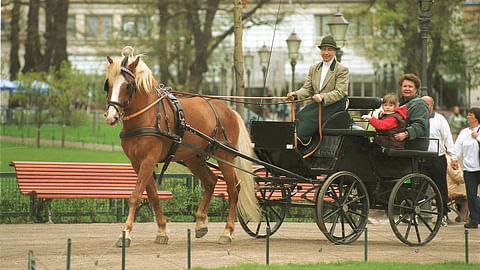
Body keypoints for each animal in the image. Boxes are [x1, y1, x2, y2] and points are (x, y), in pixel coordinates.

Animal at [104, 47, 260, 247]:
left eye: (128, 85)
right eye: (108, 85)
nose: (111, 116)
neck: (149, 115)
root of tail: (229, 109)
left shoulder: (148, 160)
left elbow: (135, 196)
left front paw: (125, 233)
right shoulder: (137, 163)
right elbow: (153, 196)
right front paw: (162, 231)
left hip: (224, 156)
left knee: (234, 191)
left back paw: (227, 231)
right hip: (194, 158)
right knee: (211, 182)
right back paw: (201, 223)